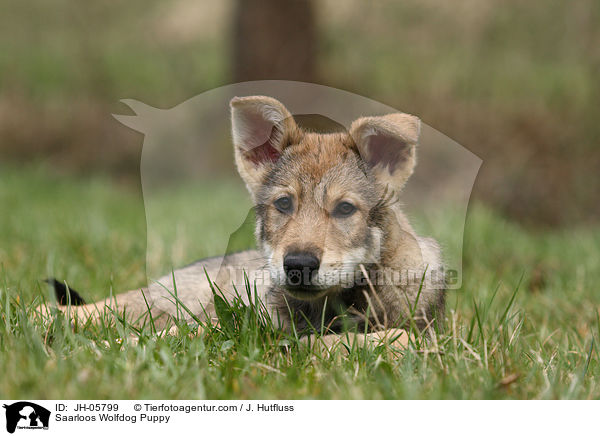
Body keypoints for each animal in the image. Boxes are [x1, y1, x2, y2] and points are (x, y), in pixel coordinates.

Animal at [43, 95, 446, 350]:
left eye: (345, 209)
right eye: (283, 204)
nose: (298, 265)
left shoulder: (424, 333)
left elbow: (384, 338)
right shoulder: (240, 323)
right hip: (157, 302)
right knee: (67, 310)